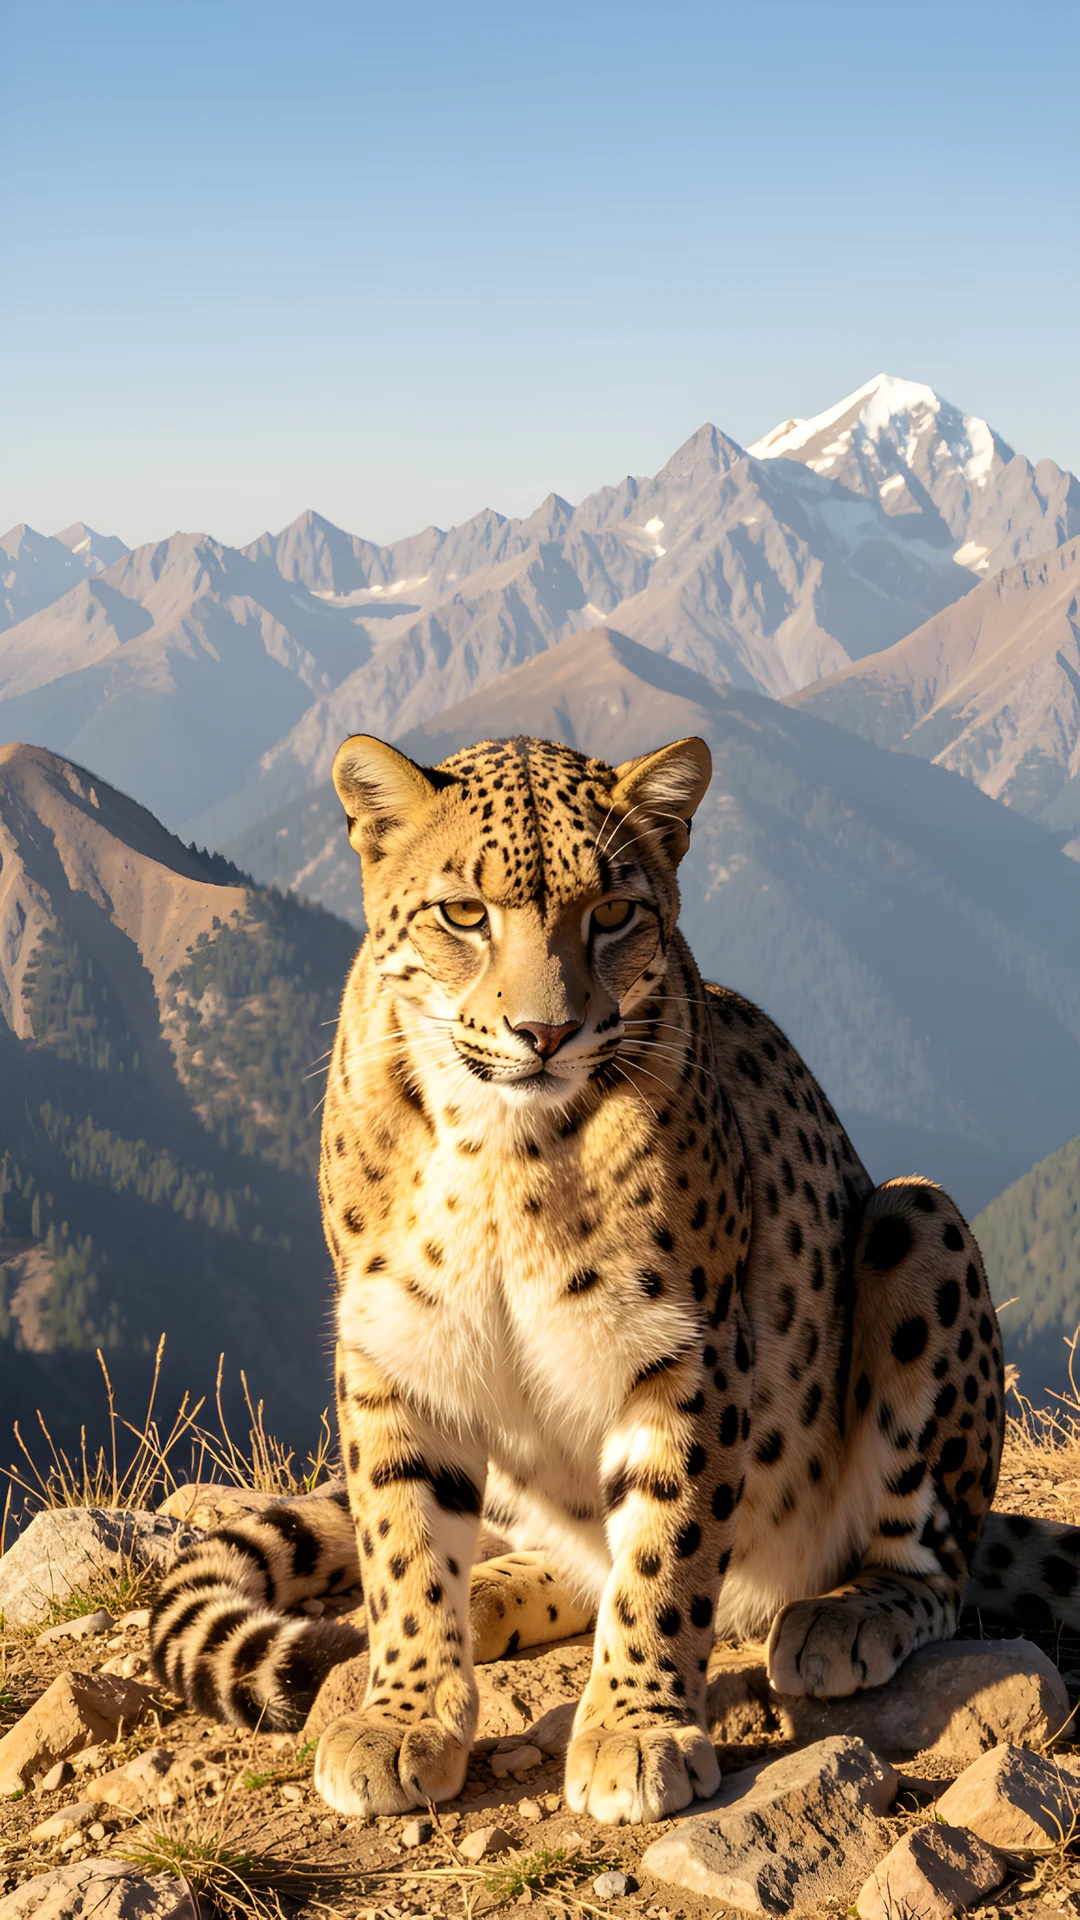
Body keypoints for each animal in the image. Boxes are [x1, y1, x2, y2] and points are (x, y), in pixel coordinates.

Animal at [151, 730, 1080, 1827]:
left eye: (613, 914)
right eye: (465, 913)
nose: (544, 1033)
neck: (497, 1152)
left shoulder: (682, 1349)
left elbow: (666, 1544)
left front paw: (637, 1729)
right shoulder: (397, 1343)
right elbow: (402, 1538)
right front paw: (405, 1709)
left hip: (916, 1221)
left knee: (930, 1562)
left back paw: (842, 1617)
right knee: (567, 1550)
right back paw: (492, 1595)